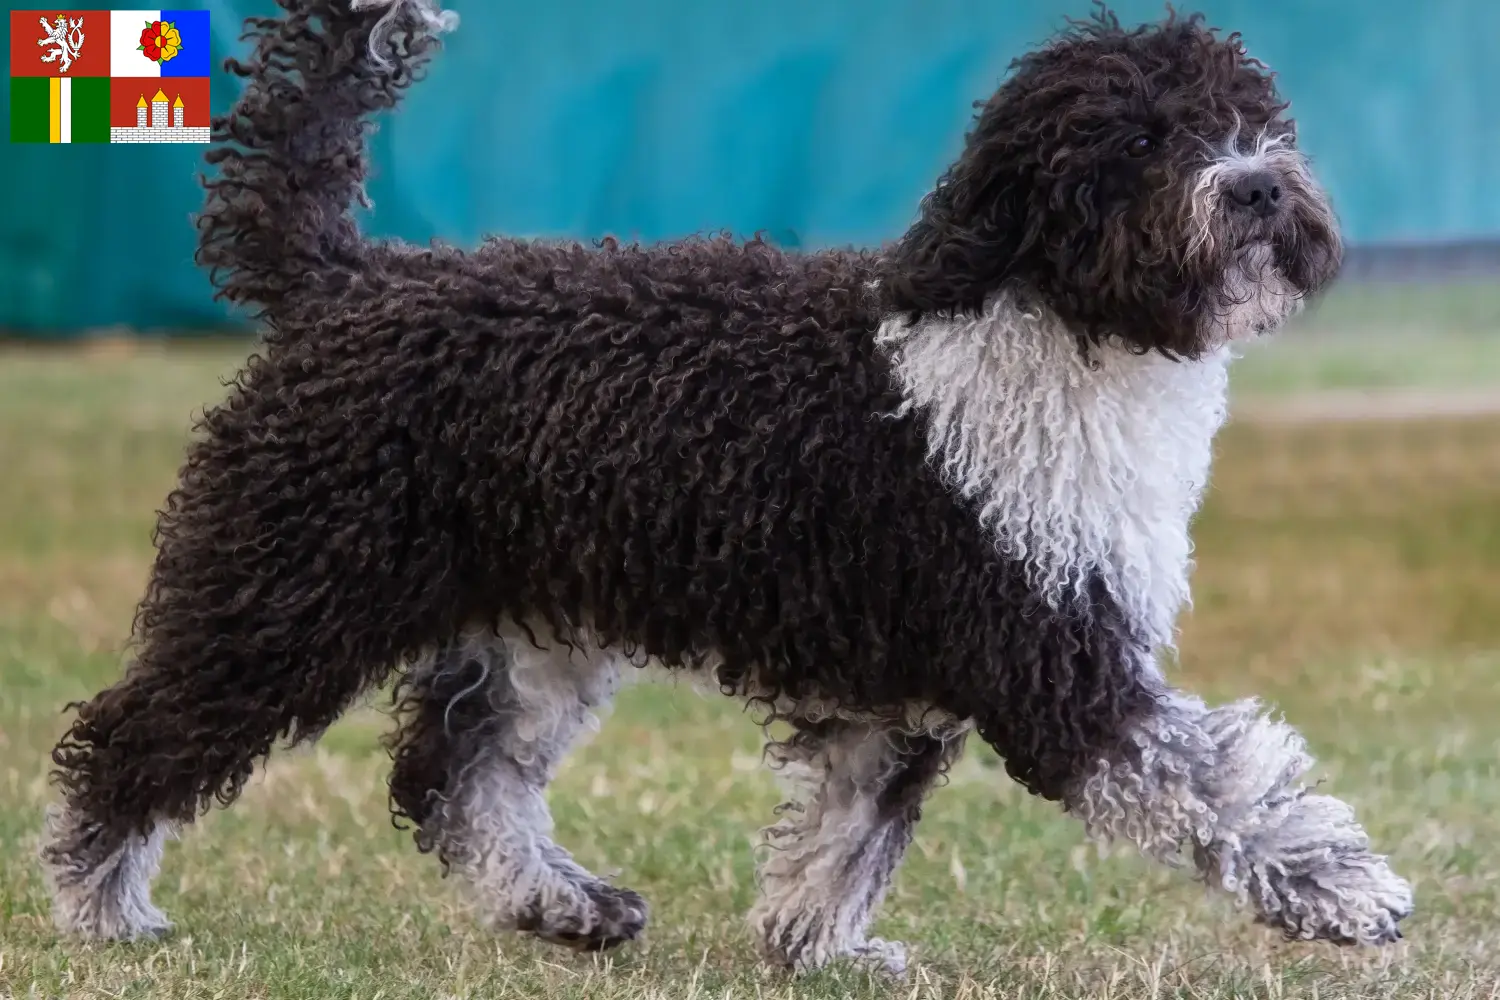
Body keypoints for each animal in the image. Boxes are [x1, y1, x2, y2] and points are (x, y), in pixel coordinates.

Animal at [41, 0, 1410, 971]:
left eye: (1255, 121)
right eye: (1139, 138)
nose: (1257, 187)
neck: (1051, 326)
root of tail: (348, 279)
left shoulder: (903, 683)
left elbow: (847, 829)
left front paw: (819, 950)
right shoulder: (1051, 661)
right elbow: (1219, 784)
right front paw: (1347, 892)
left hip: (530, 624)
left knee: (455, 776)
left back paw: (564, 904)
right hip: (286, 586)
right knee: (130, 737)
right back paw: (99, 907)